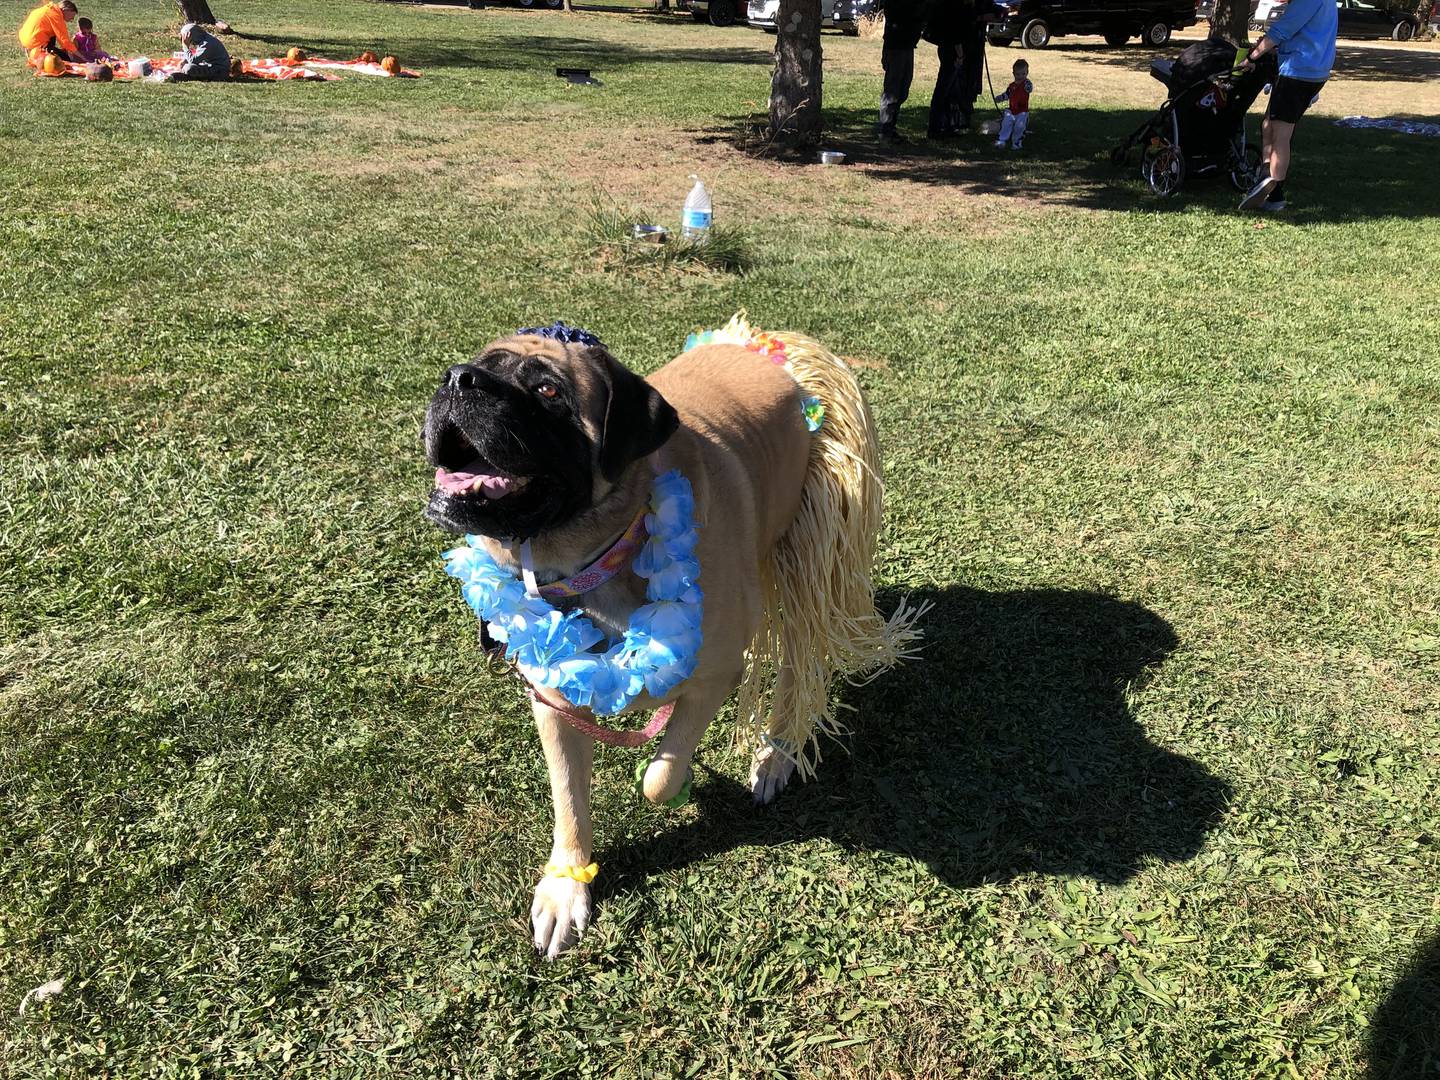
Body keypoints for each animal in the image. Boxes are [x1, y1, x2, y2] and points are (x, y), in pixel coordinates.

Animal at [420, 316, 915, 961]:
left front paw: (675, 786)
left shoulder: (709, 679)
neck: (591, 556)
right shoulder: (552, 697)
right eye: (482, 363)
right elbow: (569, 800)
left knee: (797, 663)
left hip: (814, 542)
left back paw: (777, 754)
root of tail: (775, 342)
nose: (458, 378)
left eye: (549, 389)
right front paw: (565, 885)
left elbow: (661, 775)